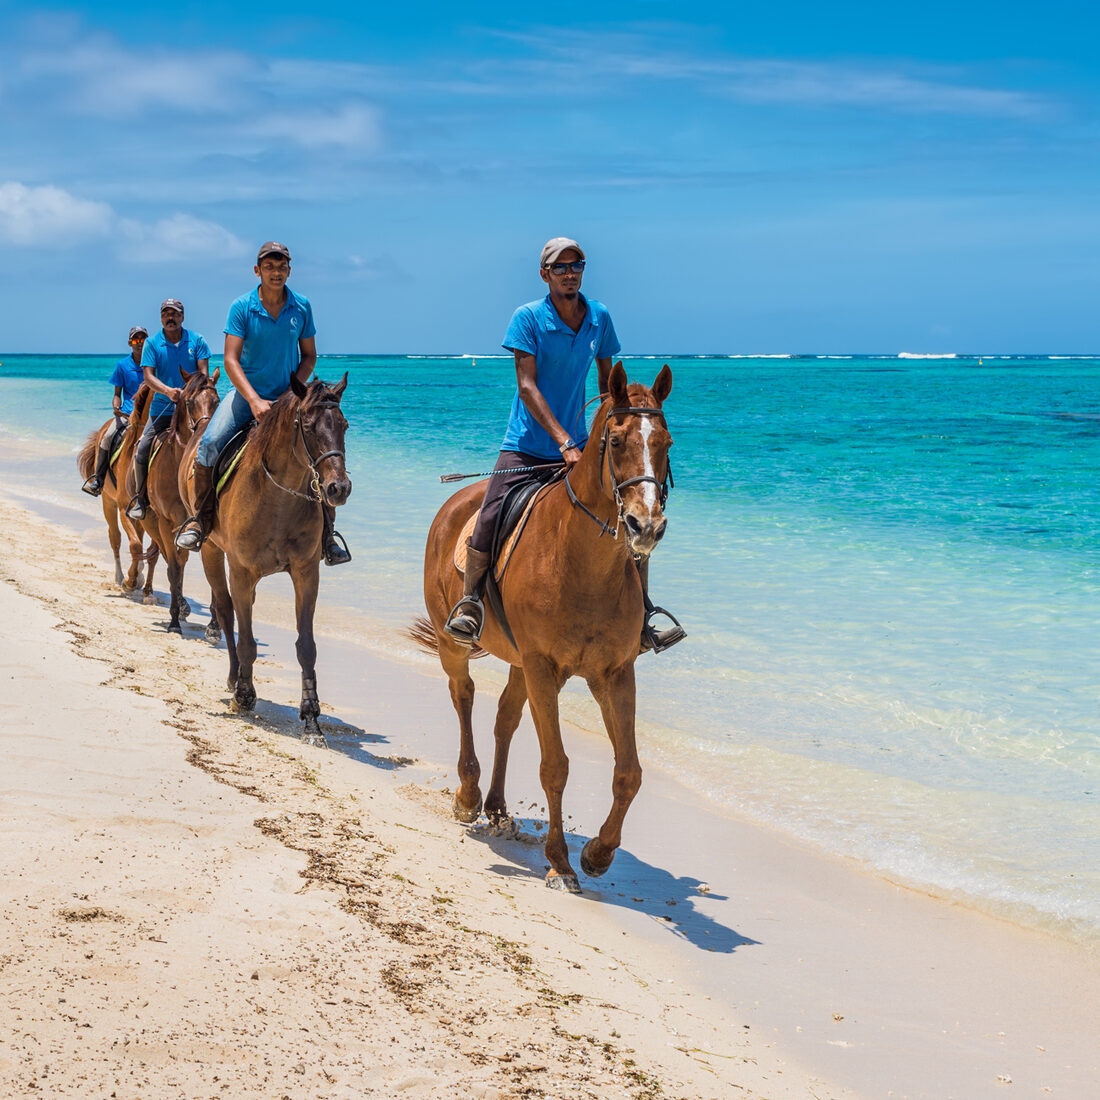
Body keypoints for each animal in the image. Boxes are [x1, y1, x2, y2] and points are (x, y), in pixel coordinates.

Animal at [77, 385, 159, 599]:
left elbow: (146, 547)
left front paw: (141, 583)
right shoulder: (123, 508)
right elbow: (134, 544)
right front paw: (129, 581)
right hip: (108, 501)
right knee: (115, 537)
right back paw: (119, 577)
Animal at [143, 366, 223, 637]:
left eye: (217, 401)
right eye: (189, 402)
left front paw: (214, 625)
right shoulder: (167, 523)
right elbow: (175, 568)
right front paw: (174, 621)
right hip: (153, 524)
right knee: (170, 563)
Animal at [181, 373, 352, 746]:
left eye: (344, 425)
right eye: (308, 426)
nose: (338, 488)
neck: (277, 498)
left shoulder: (306, 573)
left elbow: (306, 646)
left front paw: (311, 720)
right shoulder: (241, 572)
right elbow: (245, 640)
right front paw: (244, 696)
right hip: (213, 552)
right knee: (226, 612)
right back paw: (235, 680)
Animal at [413, 362, 675, 892]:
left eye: (667, 443)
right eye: (617, 441)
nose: (646, 526)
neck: (582, 564)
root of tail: (457, 498)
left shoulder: (614, 674)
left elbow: (629, 772)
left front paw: (598, 853)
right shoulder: (544, 669)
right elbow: (555, 766)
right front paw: (559, 862)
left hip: (519, 663)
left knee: (505, 718)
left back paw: (496, 807)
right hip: (459, 644)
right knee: (463, 695)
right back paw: (468, 796)